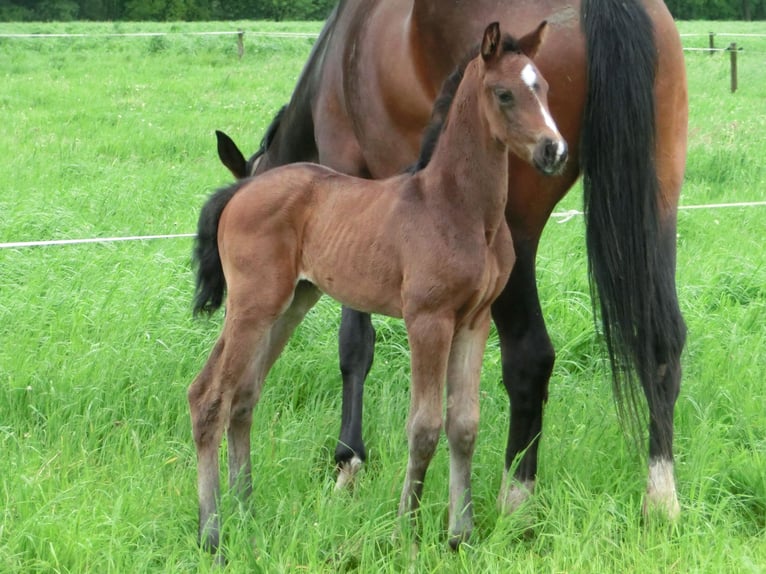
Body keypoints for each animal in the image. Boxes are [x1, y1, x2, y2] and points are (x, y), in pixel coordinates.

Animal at [189, 21, 568, 552]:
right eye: (505, 93)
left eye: (546, 89)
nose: (554, 151)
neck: (459, 207)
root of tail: (240, 191)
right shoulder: (427, 319)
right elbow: (425, 426)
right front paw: (405, 531)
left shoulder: (474, 321)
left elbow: (464, 424)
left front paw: (461, 535)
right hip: (252, 304)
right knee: (208, 397)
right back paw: (213, 533)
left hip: (289, 303)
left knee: (243, 396)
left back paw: (247, 510)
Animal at [218, 0, 688, 520]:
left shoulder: (348, 177)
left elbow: (355, 343)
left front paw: (348, 461)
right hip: (657, 201)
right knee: (663, 342)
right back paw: (660, 496)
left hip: (517, 236)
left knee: (530, 357)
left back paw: (515, 496)